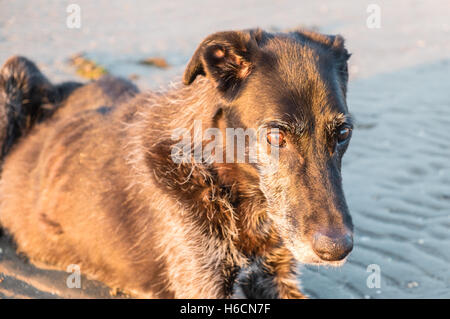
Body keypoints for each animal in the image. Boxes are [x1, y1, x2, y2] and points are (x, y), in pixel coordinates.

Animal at [0, 28, 354, 300]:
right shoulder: (201, 282)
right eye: (276, 136)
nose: (337, 249)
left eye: (343, 133)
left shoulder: (276, 274)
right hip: (14, 71)